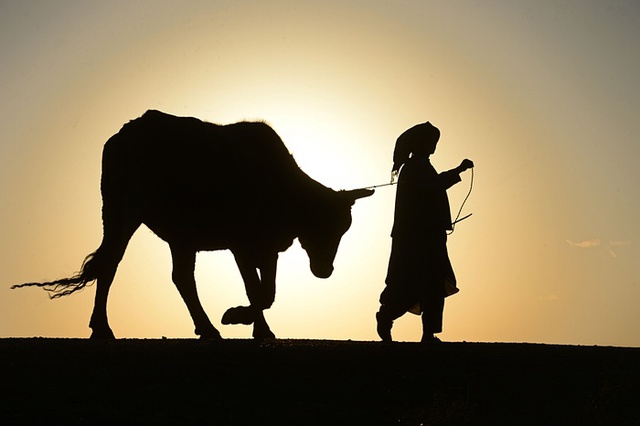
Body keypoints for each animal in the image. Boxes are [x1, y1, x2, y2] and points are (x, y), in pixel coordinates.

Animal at [13, 110, 376, 340]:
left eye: (344, 228)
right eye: (322, 224)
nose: (325, 270)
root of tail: (126, 132)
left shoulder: (267, 248)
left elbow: (268, 291)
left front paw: (261, 329)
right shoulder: (241, 243)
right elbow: (255, 290)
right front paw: (237, 316)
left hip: (175, 233)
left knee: (175, 276)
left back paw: (201, 328)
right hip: (120, 213)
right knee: (115, 265)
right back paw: (106, 328)